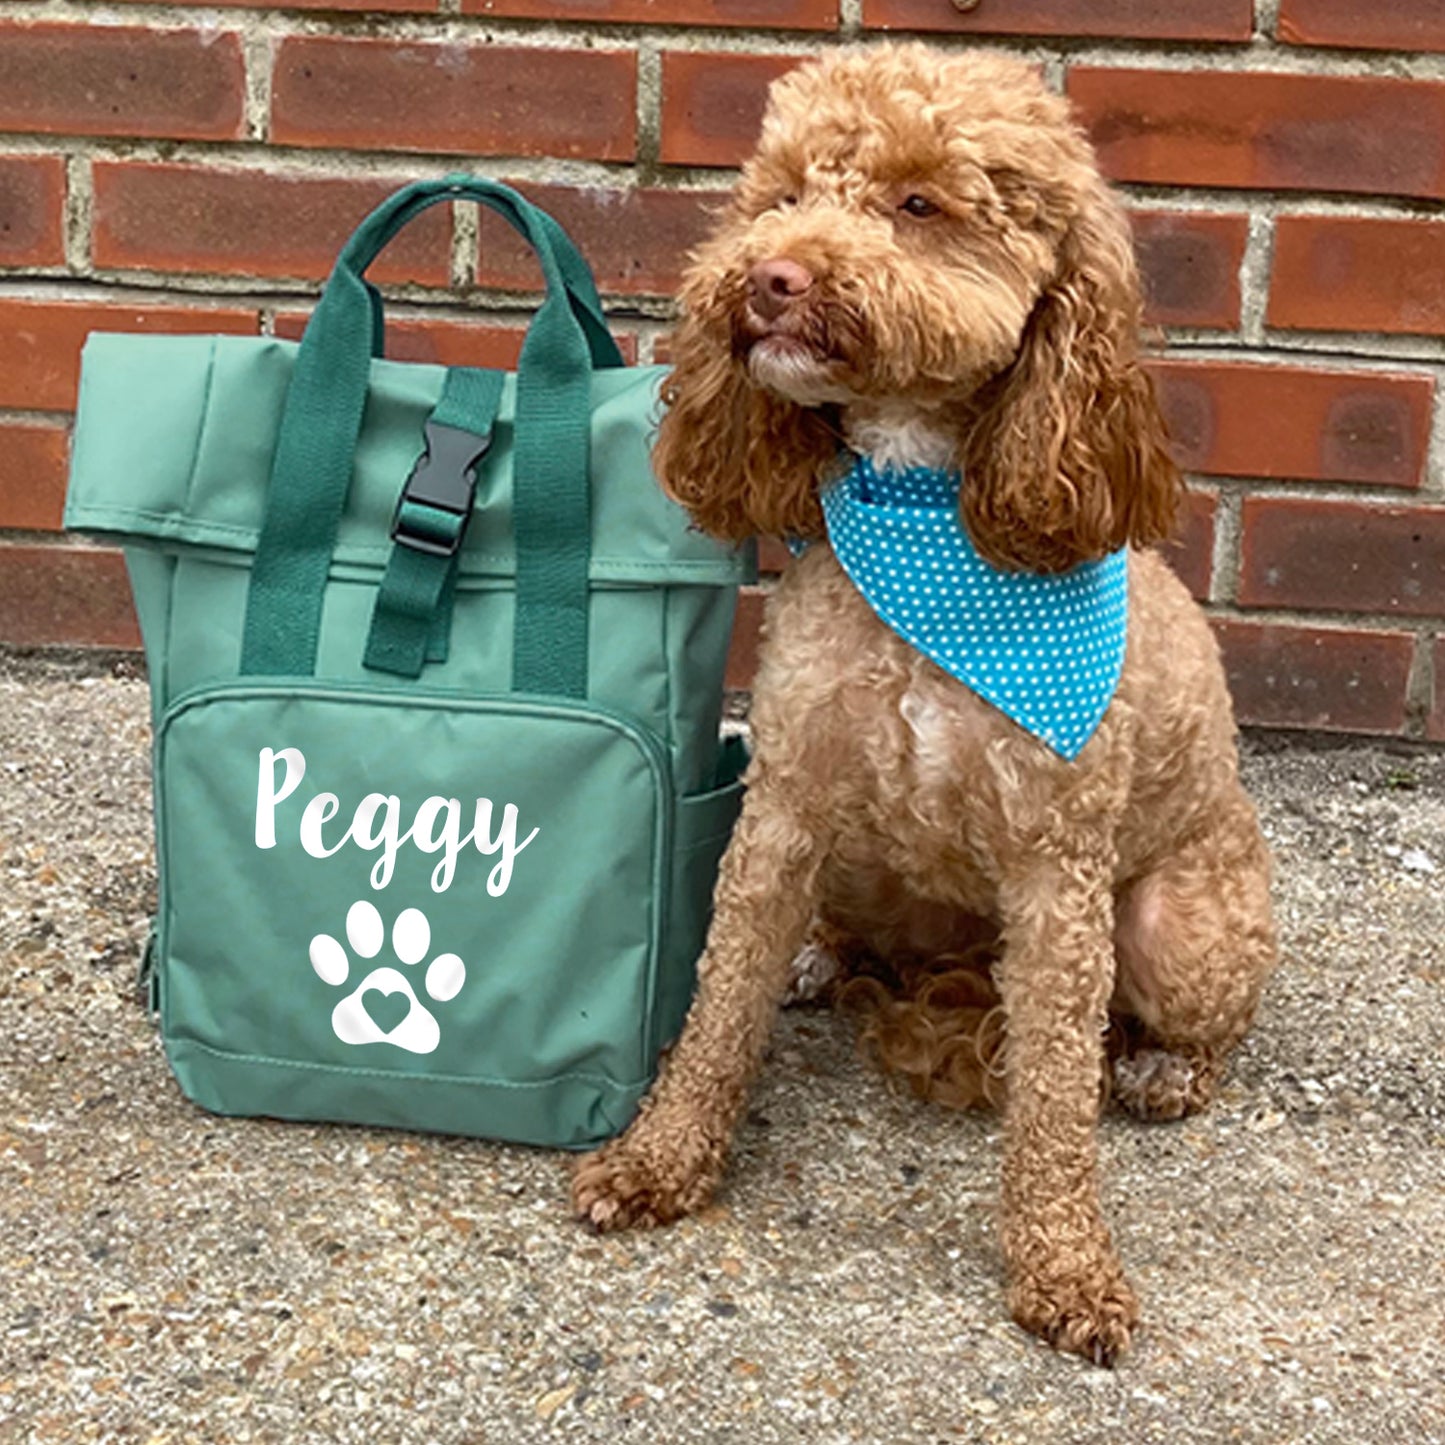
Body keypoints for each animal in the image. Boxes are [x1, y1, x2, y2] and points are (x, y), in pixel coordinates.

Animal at [572, 39, 1277, 1358]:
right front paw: (659, 1159)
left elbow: (1051, 1096)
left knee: (1190, 1026)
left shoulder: (1057, 873)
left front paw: (1063, 1266)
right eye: (782, 192)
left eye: (917, 203)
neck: (922, 512)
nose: (770, 277)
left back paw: (1160, 1068)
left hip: (1180, 926)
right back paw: (818, 954)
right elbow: (717, 1003)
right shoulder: (784, 803)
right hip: (856, 852)